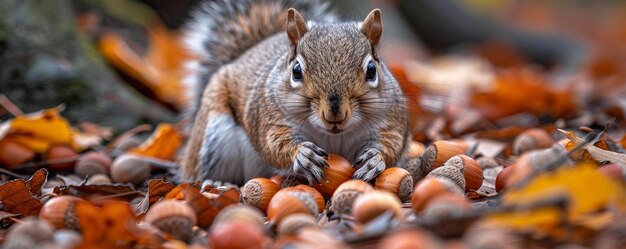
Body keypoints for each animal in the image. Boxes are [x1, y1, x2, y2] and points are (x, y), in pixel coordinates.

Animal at [178, 0, 410, 186]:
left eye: (372, 70)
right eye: (296, 71)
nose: (334, 114)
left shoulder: (391, 119)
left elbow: (393, 143)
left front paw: (375, 159)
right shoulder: (270, 116)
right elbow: (272, 143)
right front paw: (302, 155)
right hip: (214, 136)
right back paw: (215, 182)